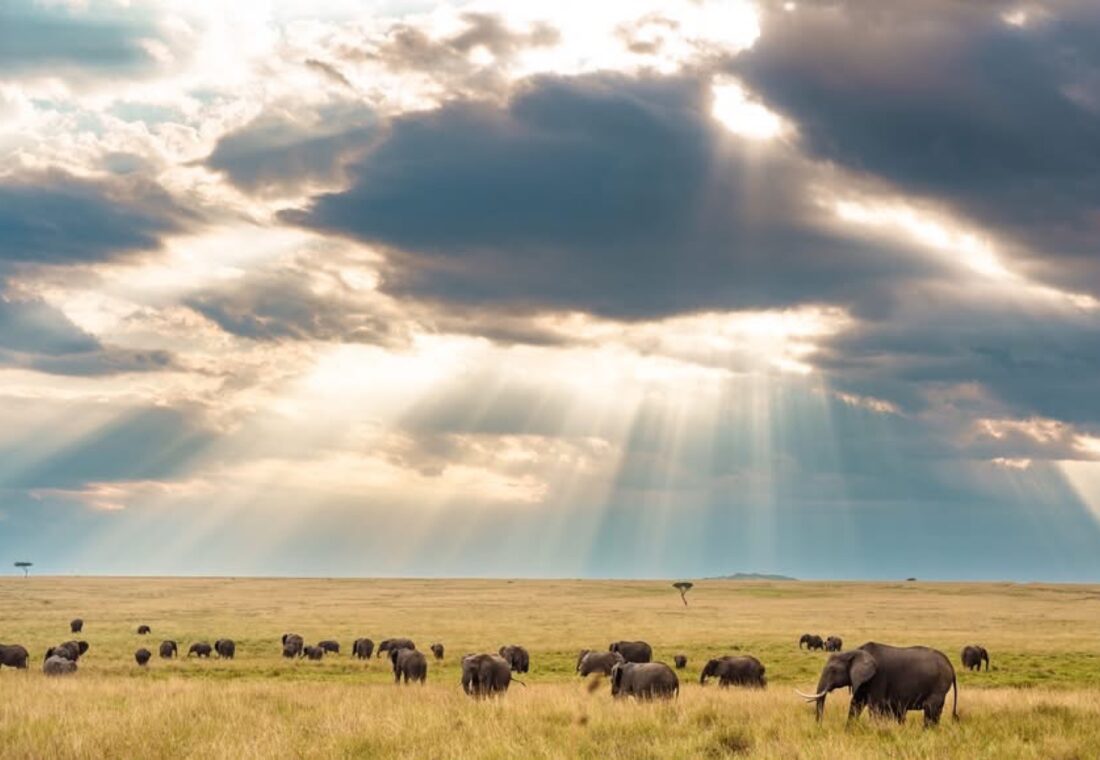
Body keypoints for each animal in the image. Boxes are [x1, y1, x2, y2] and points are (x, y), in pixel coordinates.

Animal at [797, 642, 958, 726]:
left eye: (832, 670)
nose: (819, 725)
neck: (855, 652)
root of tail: (950, 664)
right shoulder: (862, 681)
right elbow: (856, 704)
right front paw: (849, 730)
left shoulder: (878, 677)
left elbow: (874, 706)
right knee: (936, 711)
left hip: (938, 684)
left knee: (930, 709)